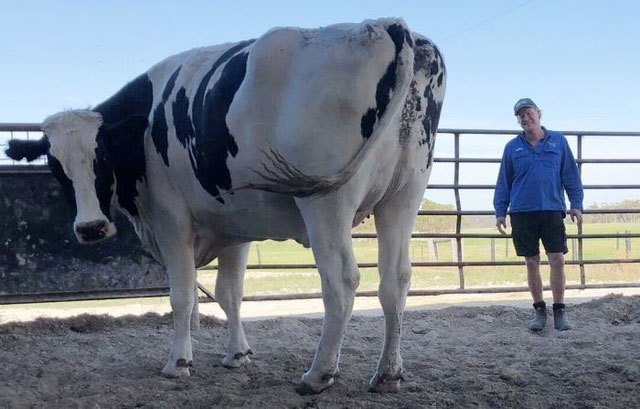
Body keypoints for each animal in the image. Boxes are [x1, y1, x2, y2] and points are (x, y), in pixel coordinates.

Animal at [6, 18, 445, 394]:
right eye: (56, 167)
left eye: (104, 158)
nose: (91, 228)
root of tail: (385, 24)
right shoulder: (236, 226)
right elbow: (229, 294)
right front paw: (237, 355)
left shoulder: (171, 221)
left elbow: (183, 296)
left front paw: (179, 363)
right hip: (403, 196)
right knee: (395, 280)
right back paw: (387, 374)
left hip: (326, 203)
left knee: (341, 282)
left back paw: (318, 374)